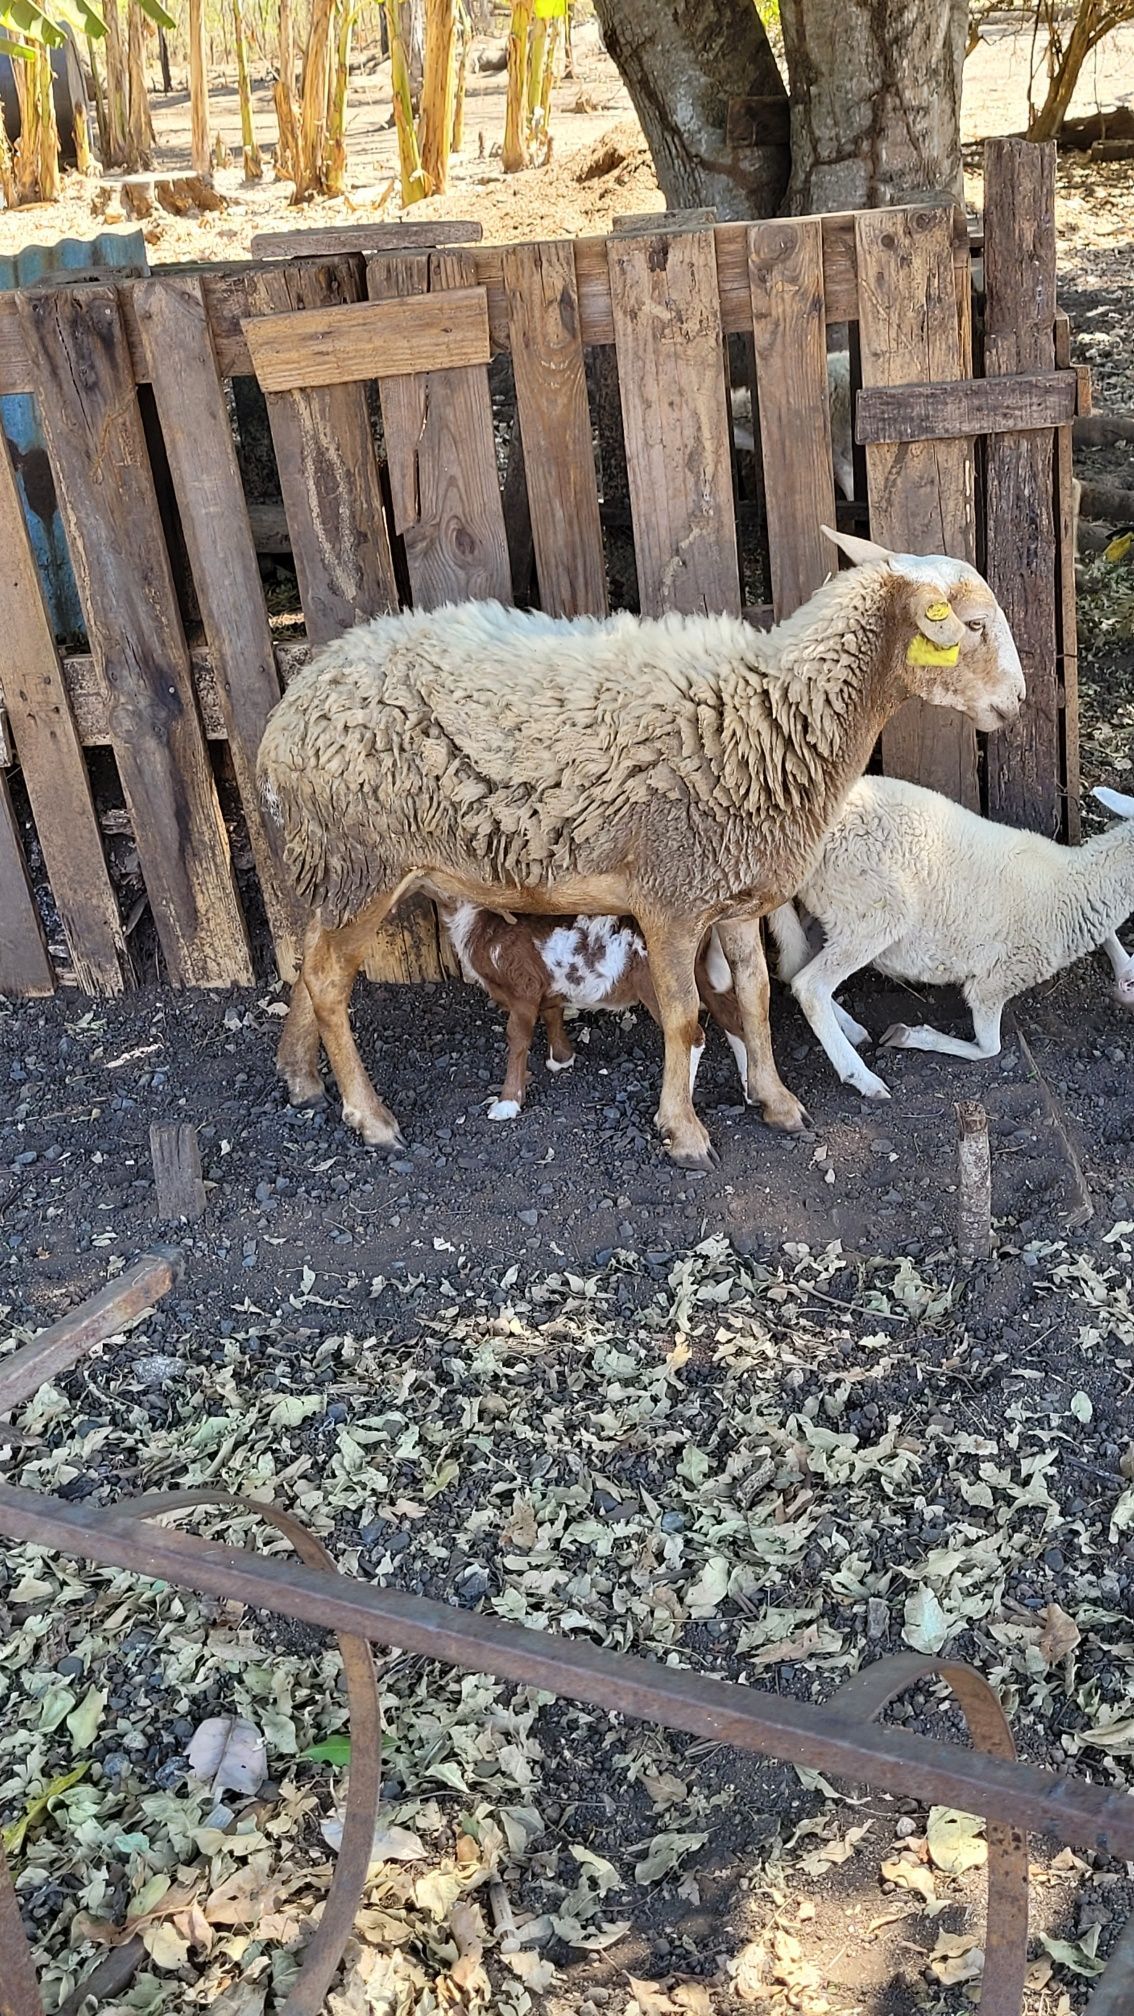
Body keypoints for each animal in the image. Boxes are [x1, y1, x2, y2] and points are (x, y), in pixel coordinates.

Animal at [439, 905, 750, 1118]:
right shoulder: (549, 983)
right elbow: (552, 1012)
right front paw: (561, 1058)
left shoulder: (523, 987)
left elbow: (517, 1038)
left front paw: (507, 1104)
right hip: (701, 973)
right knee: (733, 1020)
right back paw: (750, 1090)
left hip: (658, 983)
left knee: (692, 1035)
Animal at [766, 777, 1134, 1102]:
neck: (1075, 887)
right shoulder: (995, 981)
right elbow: (989, 1048)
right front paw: (910, 1035)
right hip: (873, 909)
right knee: (809, 985)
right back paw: (863, 1078)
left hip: (830, 909)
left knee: (794, 968)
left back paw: (853, 1030)